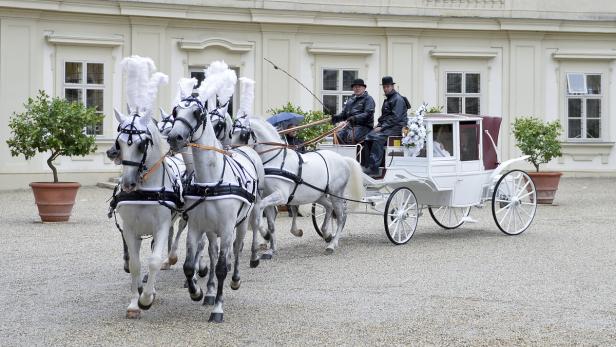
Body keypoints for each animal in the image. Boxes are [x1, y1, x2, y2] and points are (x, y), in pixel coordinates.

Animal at [166, 64, 264, 324]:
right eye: (176, 111)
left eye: (197, 114)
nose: (174, 137)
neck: (209, 179)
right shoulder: (196, 226)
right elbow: (190, 265)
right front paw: (198, 292)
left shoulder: (228, 227)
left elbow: (221, 267)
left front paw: (218, 308)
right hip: (211, 229)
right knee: (211, 252)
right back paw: (209, 291)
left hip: (242, 222)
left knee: (237, 248)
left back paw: (236, 277)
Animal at [231, 117, 366, 256]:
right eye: (231, 132)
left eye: (242, 135)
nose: (231, 152)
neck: (275, 159)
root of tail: (343, 158)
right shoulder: (268, 196)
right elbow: (271, 223)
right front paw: (271, 249)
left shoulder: (281, 196)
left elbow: (259, 208)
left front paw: (264, 234)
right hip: (319, 195)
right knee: (329, 207)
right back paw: (326, 233)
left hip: (337, 194)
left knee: (340, 217)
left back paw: (332, 244)